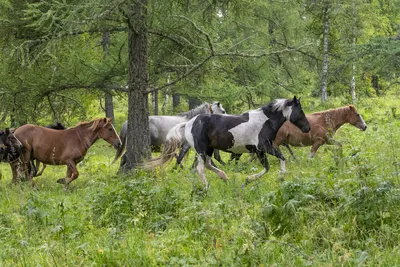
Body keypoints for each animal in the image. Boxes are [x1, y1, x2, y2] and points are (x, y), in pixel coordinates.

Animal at [145, 97, 310, 188]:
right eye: (300, 111)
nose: (307, 128)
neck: (265, 122)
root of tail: (189, 122)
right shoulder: (263, 147)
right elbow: (276, 162)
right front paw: (252, 179)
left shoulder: (260, 150)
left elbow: (274, 163)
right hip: (201, 150)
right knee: (200, 168)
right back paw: (207, 186)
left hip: (209, 149)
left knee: (208, 164)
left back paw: (224, 177)